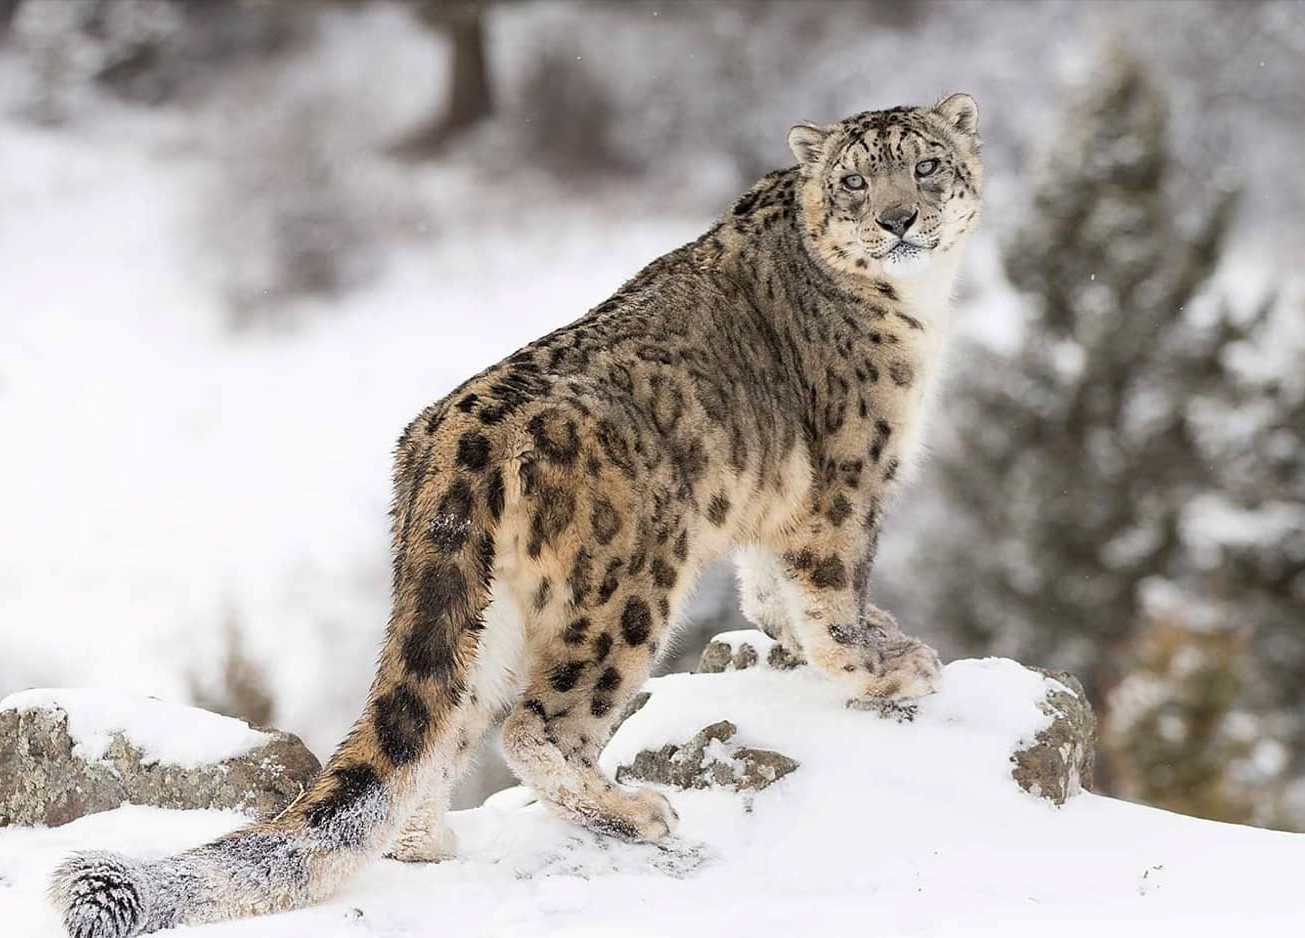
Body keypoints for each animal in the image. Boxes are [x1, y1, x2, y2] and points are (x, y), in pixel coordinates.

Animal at [56, 91, 981, 934]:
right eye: (855, 179)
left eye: (926, 166)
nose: (899, 218)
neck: (919, 306)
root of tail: (451, 439)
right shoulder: (846, 480)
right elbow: (829, 594)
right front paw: (885, 666)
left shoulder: (777, 506)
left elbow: (767, 591)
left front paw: (823, 642)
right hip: (628, 589)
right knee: (536, 726)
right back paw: (633, 811)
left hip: (481, 612)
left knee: (443, 728)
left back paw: (427, 844)